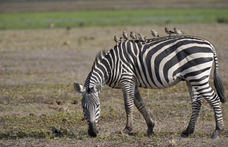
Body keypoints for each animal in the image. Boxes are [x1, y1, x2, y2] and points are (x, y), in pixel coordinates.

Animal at [74, 35, 225, 139]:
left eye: (98, 106)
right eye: (83, 107)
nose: (93, 133)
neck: (111, 65)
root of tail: (209, 44)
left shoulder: (126, 79)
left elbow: (128, 105)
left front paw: (127, 129)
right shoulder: (133, 82)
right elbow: (140, 104)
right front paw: (150, 128)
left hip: (198, 76)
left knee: (214, 98)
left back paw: (217, 130)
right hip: (191, 78)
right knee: (197, 103)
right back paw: (188, 131)